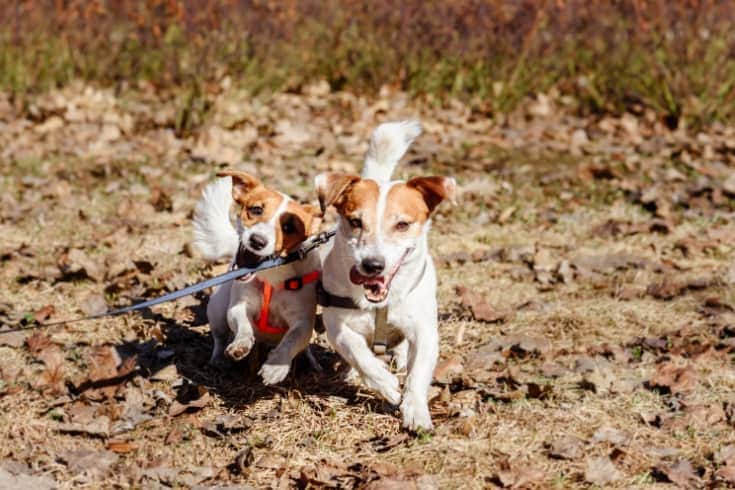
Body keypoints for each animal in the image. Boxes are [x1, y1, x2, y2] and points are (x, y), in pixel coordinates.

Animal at [193, 172, 322, 386]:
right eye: (256, 209)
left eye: (288, 227)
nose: (257, 241)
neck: (272, 274)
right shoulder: (238, 307)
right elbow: (244, 324)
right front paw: (241, 344)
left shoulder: (303, 321)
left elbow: (292, 339)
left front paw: (275, 367)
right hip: (217, 309)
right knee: (219, 337)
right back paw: (219, 359)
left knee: (303, 348)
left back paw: (311, 362)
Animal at [314, 121, 454, 428]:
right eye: (355, 221)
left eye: (402, 224)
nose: (373, 265)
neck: (380, 304)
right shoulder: (336, 325)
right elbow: (358, 352)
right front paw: (385, 384)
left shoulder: (425, 331)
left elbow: (417, 374)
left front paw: (415, 410)